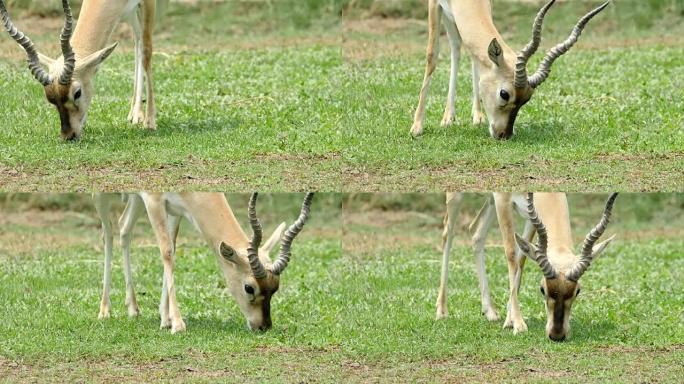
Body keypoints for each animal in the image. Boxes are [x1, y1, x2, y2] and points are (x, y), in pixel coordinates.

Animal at [0, 0, 163, 141]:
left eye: (77, 93)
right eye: (50, 99)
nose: (68, 135)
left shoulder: (149, 3)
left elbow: (146, 50)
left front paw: (150, 122)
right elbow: (139, 47)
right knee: (137, 42)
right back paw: (135, 114)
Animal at [93, 192, 316, 332]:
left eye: (275, 288)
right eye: (249, 288)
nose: (263, 326)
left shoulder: (175, 211)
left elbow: (172, 248)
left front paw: (166, 319)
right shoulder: (154, 202)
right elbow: (166, 252)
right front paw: (178, 324)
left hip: (135, 199)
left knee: (124, 229)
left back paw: (133, 308)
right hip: (103, 196)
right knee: (107, 234)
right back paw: (104, 311)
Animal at [412, 0, 608, 139]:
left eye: (526, 99)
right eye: (504, 94)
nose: (503, 134)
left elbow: (477, 57)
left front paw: (477, 117)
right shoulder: (433, 3)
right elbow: (432, 55)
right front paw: (417, 127)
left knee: (461, 48)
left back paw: (473, 116)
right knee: (454, 47)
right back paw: (447, 119)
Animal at [438, 194, 620, 340]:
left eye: (577, 291)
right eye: (542, 289)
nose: (557, 335)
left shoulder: (531, 217)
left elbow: (521, 259)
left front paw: (510, 319)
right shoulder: (502, 200)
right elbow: (511, 254)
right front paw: (519, 325)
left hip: (489, 201)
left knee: (476, 232)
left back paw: (490, 312)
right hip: (458, 197)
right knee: (447, 232)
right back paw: (441, 311)